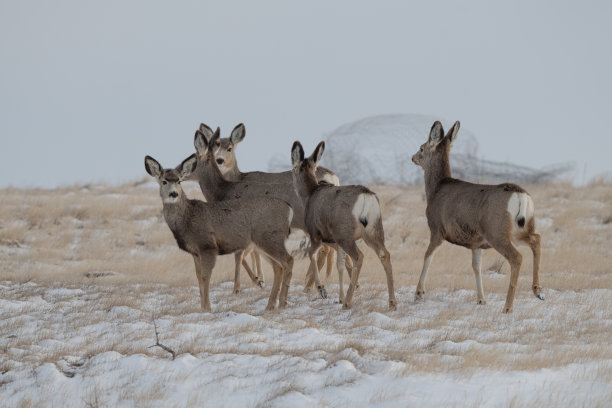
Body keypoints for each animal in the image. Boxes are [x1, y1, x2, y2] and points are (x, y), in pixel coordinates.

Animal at [145, 155, 296, 310]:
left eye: (179, 181)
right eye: (163, 181)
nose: (173, 193)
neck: (187, 218)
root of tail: (289, 209)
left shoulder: (208, 246)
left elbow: (206, 277)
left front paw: (207, 308)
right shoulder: (195, 252)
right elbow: (198, 277)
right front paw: (202, 307)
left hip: (270, 238)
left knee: (288, 260)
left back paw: (282, 303)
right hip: (262, 243)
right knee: (278, 267)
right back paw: (270, 305)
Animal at [196, 122, 350, 292]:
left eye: (229, 147)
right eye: (215, 146)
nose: (219, 160)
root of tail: (334, 178)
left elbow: (247, 253)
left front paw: (258, 280)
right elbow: (253, 252)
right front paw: (259, 279)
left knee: (326, 250)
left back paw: (311, 285)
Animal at [290, 140, 396, 310]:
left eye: (293, 169)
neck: (310, 195)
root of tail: (367, 198)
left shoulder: (315, 233)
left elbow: (312, 255)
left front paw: (322, 289)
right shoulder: (333, 241)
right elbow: (339, 265)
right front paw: (338, 296)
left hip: (345, 234)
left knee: (359, 256)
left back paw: (348, 302)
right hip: (374, 230)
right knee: (384, 254)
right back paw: (392, 302)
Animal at [414, 120, 544, 312]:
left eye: (421, 148)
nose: (413, 157)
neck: (436, 189)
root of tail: (521, 196)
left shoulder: (437, 228)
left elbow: (428, 257)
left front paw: (419, 293)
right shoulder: (476, 243)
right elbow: (476, 267)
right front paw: (481, 299)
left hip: (496, 231)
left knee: (517, 257)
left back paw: (508, 307)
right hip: (520, 228)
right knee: (536, 239)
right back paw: (538, 290)